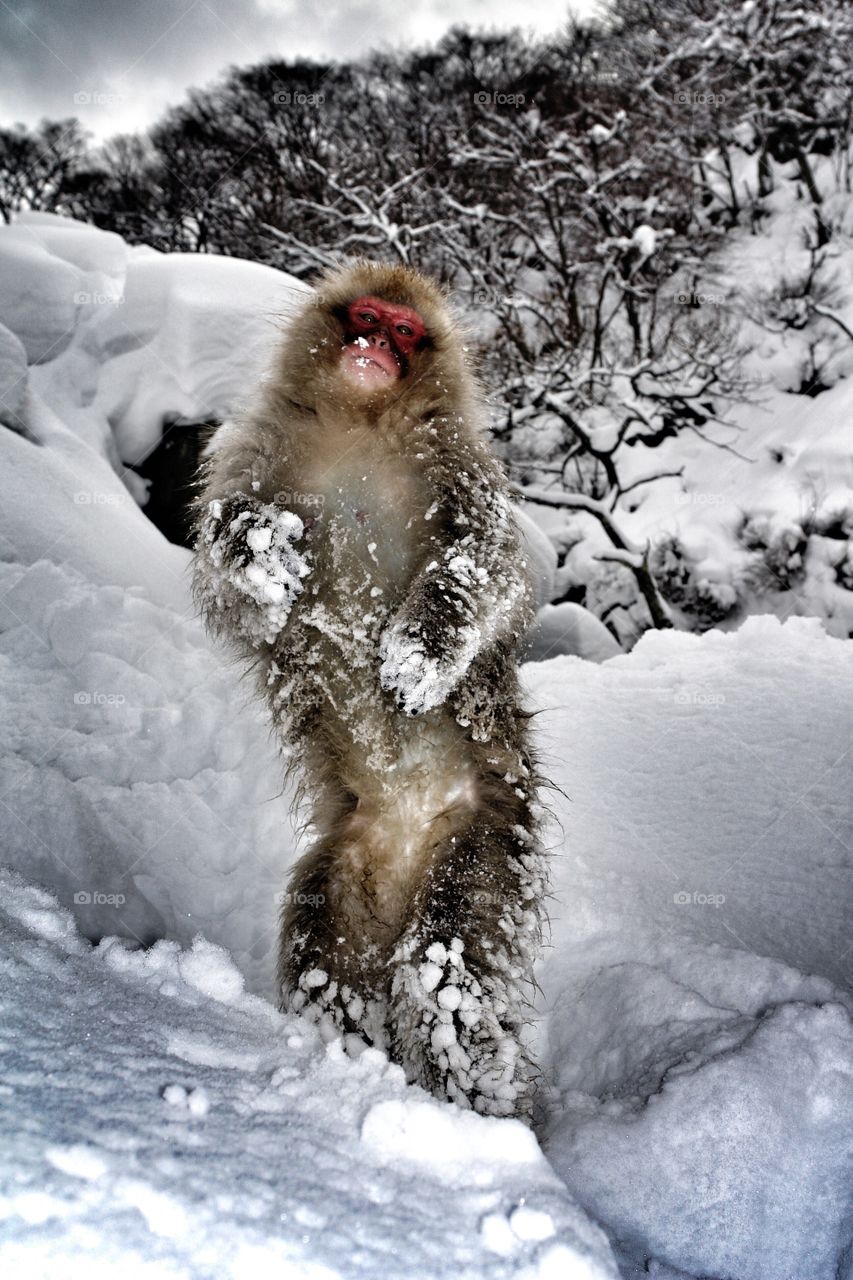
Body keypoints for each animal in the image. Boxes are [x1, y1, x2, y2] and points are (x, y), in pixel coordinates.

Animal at [192, 261, 547, 1119]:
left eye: (406, 331)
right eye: (365, 316)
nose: (374, 348)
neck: (360, 423)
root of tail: (403, 841)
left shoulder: (460, 468)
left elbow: (485, 570)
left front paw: (422, 651)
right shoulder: (254, 453)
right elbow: (231, 589)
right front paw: (258, 551)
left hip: (484, 840)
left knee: (442, 970)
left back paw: (487, 1115)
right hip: (344, 868)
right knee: (329, 967)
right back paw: (342, 1057)